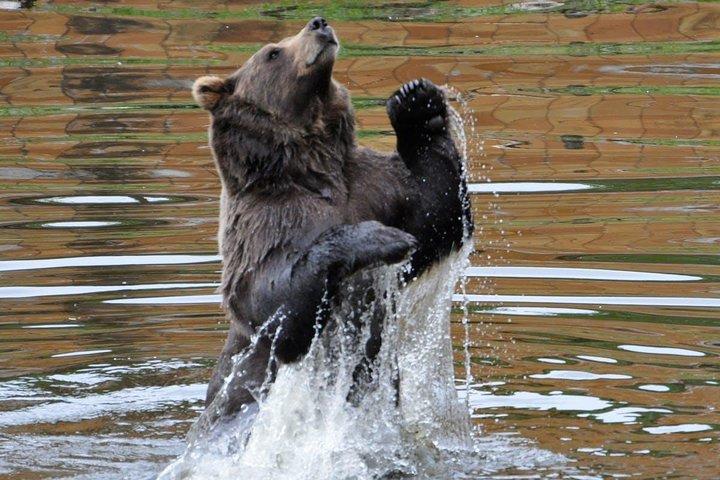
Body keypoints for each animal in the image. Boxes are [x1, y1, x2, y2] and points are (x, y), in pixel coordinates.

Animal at [191, 16, 473, 424]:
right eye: (273, 52)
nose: (318, 23)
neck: (312, 165)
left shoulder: (375, 186)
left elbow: (437, 216)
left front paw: (417, 102)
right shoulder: (267, 221)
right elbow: (270, 299)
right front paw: (382, 238)